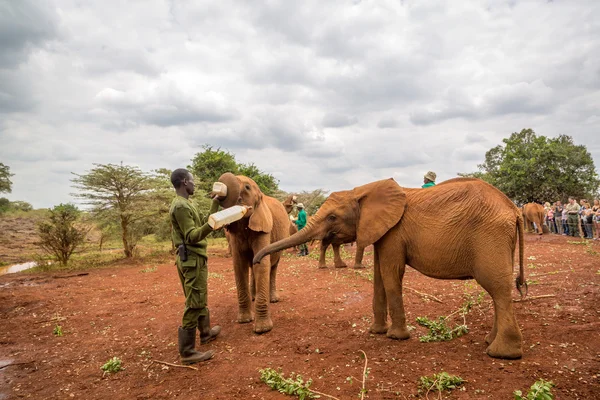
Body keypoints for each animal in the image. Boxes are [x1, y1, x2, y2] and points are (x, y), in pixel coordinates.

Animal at [220, 173, 290, 332]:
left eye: (247, 187)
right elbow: (239, 265)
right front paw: (244, 320)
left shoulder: (264, 228)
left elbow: (262, 264)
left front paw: (263, 329)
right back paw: (253, 297)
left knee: (273, 266)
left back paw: (273, 299)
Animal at [255, 178, 528, 360]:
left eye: (332, 217)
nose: (256, 261)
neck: (362, 190)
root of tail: (514, 209)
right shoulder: (382, 231)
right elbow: (379, 275)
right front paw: (376, 331)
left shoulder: (395, 232)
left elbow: (390, 273)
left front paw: (396, 337)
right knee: (497, 291)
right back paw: (491, 342)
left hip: (490, 236)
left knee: (497, 287)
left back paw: (502, 354)